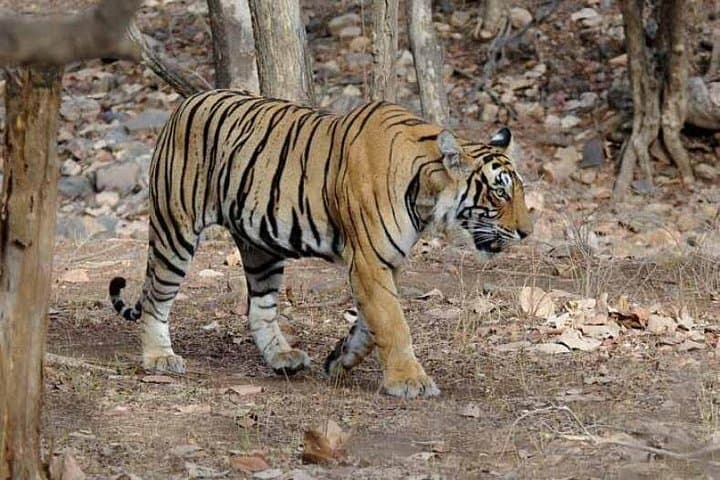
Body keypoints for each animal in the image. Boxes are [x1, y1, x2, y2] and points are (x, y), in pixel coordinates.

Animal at [109, 90, 533, 399]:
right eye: (499, 193)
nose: (527, 232)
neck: (426, 193)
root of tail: (183, 104)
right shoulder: (369, 261)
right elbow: (393, 323)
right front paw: (409, 381)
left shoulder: (385, 261)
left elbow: (371, 323)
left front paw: (340, 359)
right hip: (175, 230)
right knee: (156, 299)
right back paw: (159, 358)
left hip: (261, 247)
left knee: (259, 308)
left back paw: (283, 358)